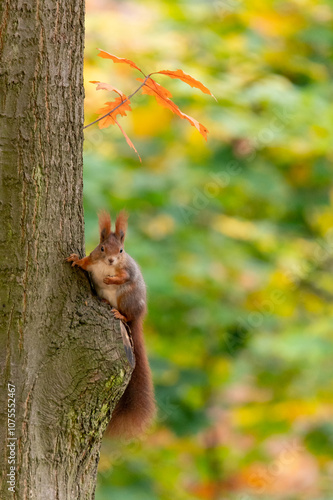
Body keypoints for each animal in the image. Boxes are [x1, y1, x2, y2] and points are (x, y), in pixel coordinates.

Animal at [65, 210, 155, 438]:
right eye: (102, 248)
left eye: (121, 250)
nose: (112, 260)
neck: (106, 266)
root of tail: (139, 315)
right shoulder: (92, 259)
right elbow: (84, 263)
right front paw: (75, 259)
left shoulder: (127, 269)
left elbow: (124, 276)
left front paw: (111, 279)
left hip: (127, 298)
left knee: (128, 315)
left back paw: (120, 315)